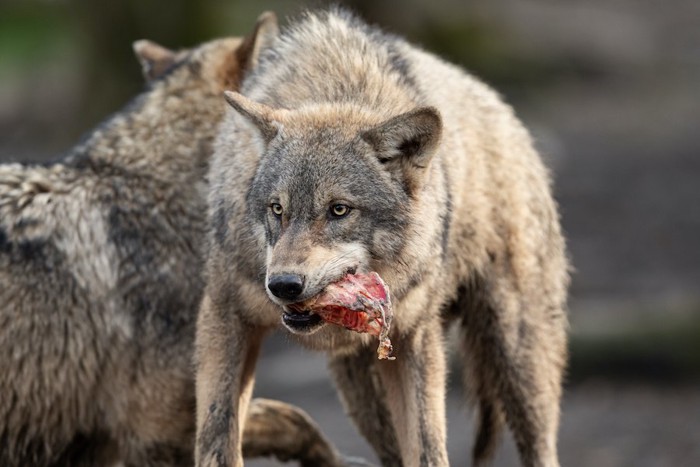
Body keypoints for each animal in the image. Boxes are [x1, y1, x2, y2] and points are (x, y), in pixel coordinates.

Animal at [196, 6, 568, 467]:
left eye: (339, 210)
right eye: (277, 209)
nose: (282, 285)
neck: (336, 82)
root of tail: (506, 114)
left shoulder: (416, 338)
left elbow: (429, 449)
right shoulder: (225, 317)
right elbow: (215, 437)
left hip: (519, 356)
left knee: (541, 444)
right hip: (363, 393)